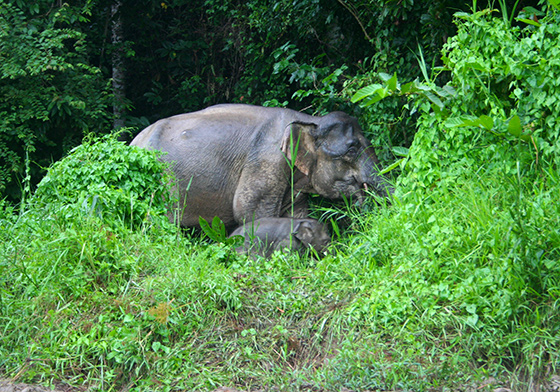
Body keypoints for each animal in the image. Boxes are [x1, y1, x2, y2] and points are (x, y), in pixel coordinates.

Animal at [131, 104, 392, 228]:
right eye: (352, 150)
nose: (362, 197)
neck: (310, 121)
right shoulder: (267, 161)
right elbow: (248, 210)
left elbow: (296, 213)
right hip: (162, 180)